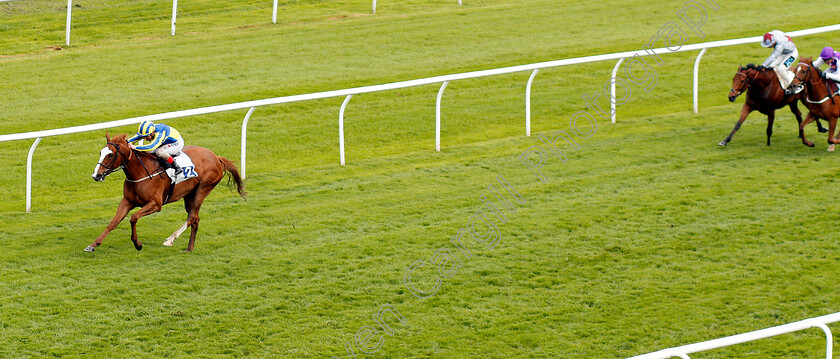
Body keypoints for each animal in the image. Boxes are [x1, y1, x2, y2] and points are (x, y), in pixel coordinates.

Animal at [89, 134, 246, 253]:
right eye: (100, 153)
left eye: (110, 155)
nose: (96, 175)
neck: (141, 172)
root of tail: (216, 157)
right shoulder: (127, 201)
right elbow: (113, 223)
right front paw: (93, 245)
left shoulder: (155, 204)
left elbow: (133, 218)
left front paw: (137, 244)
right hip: (189, 194)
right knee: (195, 218)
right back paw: (189, 248)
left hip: (203, 188)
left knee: (192, 217)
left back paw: (170, 239)